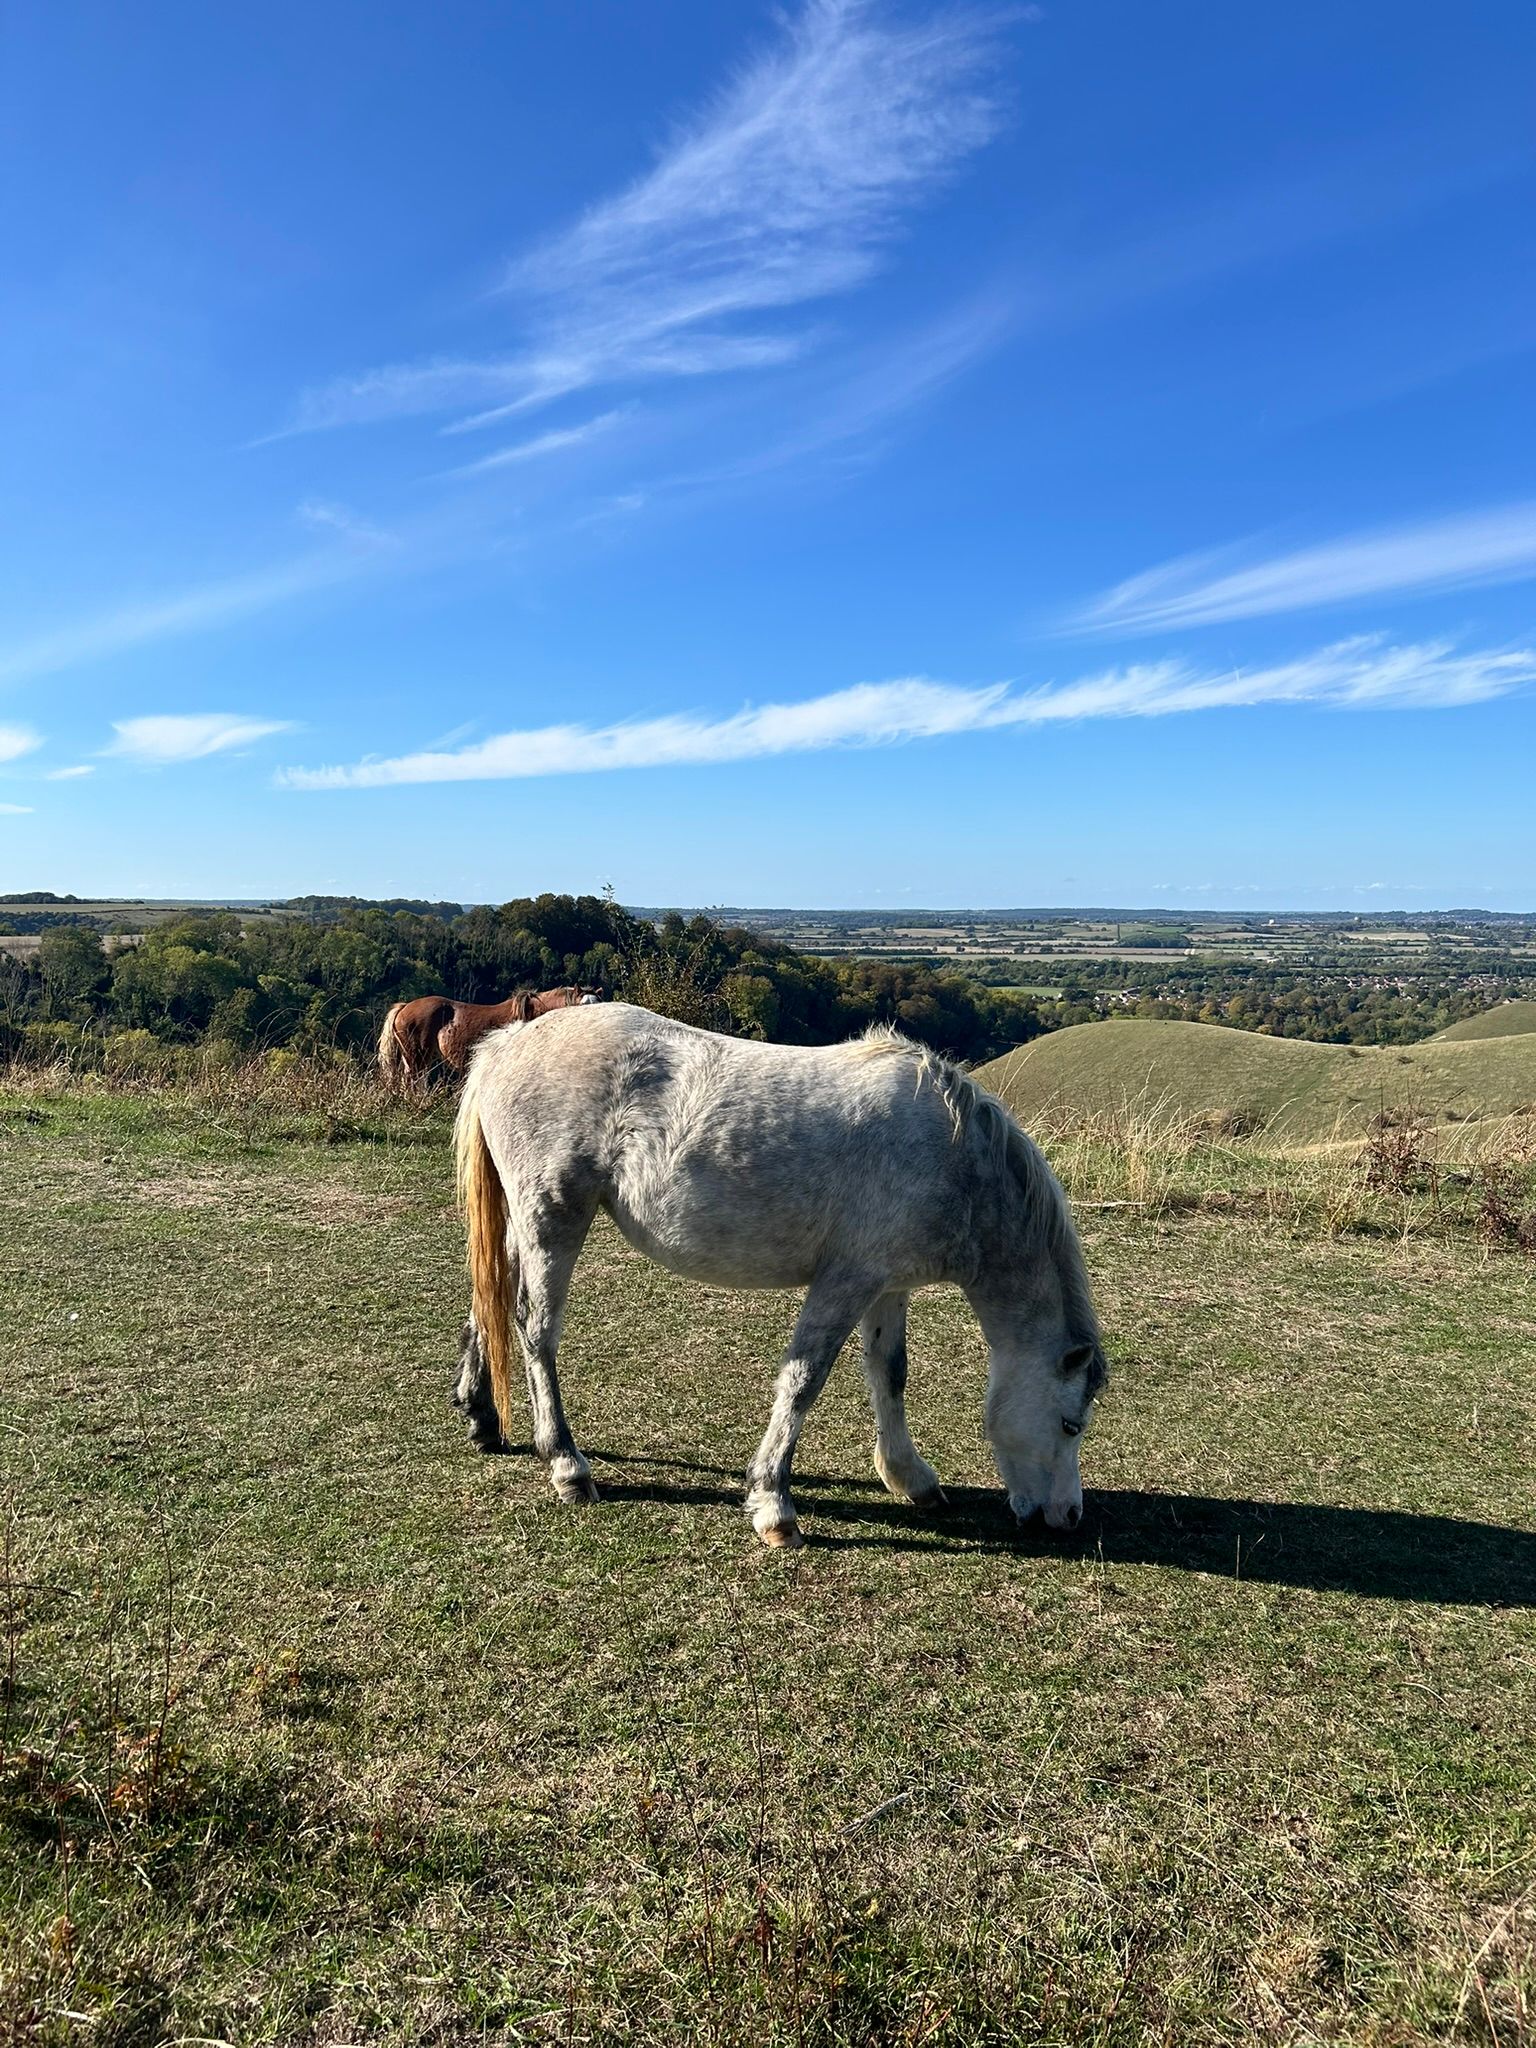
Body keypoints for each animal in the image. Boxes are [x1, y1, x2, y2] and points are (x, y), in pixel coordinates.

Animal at [451, 1001, 1107, 1548]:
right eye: (1070, 1423)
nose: (1069, 1516)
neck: (950, 1155)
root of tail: (509, 1043)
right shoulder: (845, 1283)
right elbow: (802, 1382)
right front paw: (774, 1506)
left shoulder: (887, 1285)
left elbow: (890, 1373)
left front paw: (909, 1476)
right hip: (554, 1217)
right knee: (536, 1330)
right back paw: (566, 1465)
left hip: (526, 1222)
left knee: (492, 1299)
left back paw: (482, 1416)